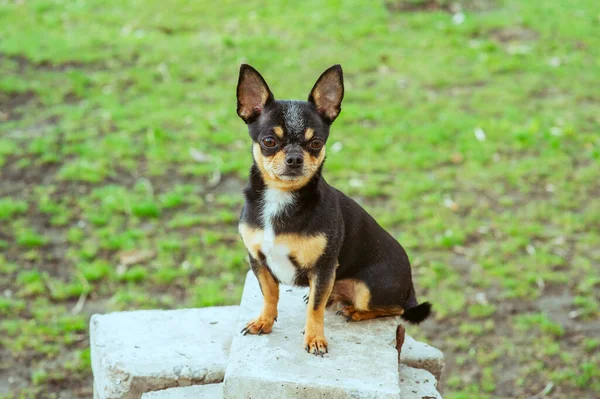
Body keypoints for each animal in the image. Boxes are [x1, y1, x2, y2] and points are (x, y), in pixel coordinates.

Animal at [236, 65, 432, 356]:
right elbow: (270, 295)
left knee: (393, 309)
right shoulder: (259, 260)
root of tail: (410, 290)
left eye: (316, 143)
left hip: (368, 289)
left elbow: (314, 309)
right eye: (269, 141)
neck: (281, 198)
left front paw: (315, 338)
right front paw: (264, 321)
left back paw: (353, 311)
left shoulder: (324, 267)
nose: (294, 158)